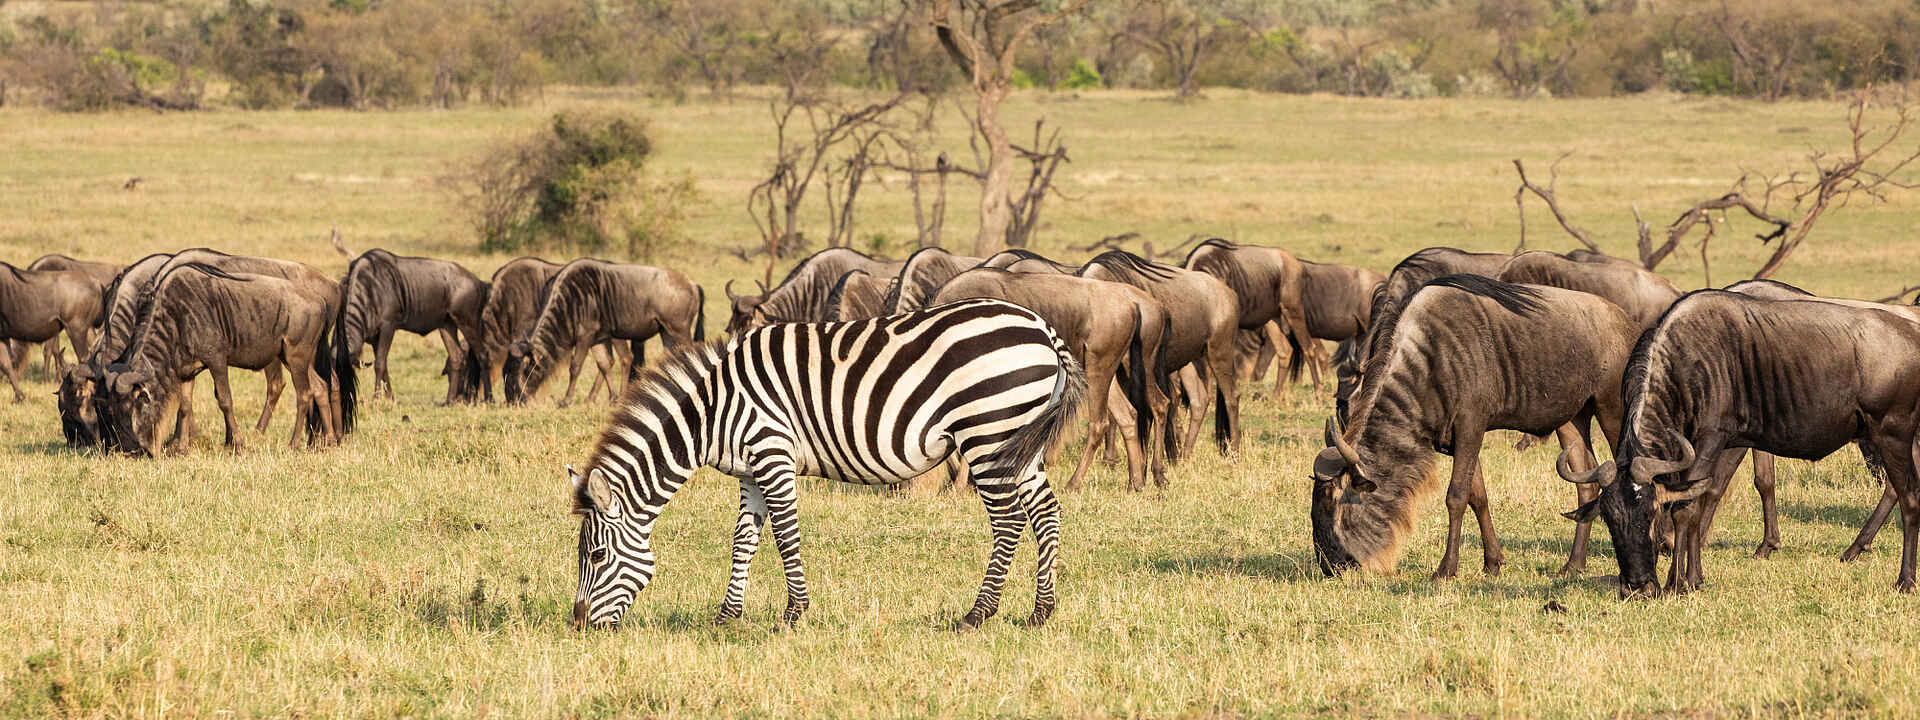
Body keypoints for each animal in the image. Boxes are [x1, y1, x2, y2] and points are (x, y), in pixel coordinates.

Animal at [569, 297, 1088, 630]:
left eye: (595, 557)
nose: (577, 625)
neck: (712, 410)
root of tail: (1042, 328)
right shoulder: (751, 470)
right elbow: (743, 540)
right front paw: (726, 617)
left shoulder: (772, 451)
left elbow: (785, 534)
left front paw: (794, 614)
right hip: (1022, 440)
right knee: (1045, 513)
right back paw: (1041, 612)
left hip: (988, 433)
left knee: (1009, 521)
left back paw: (978, 614)